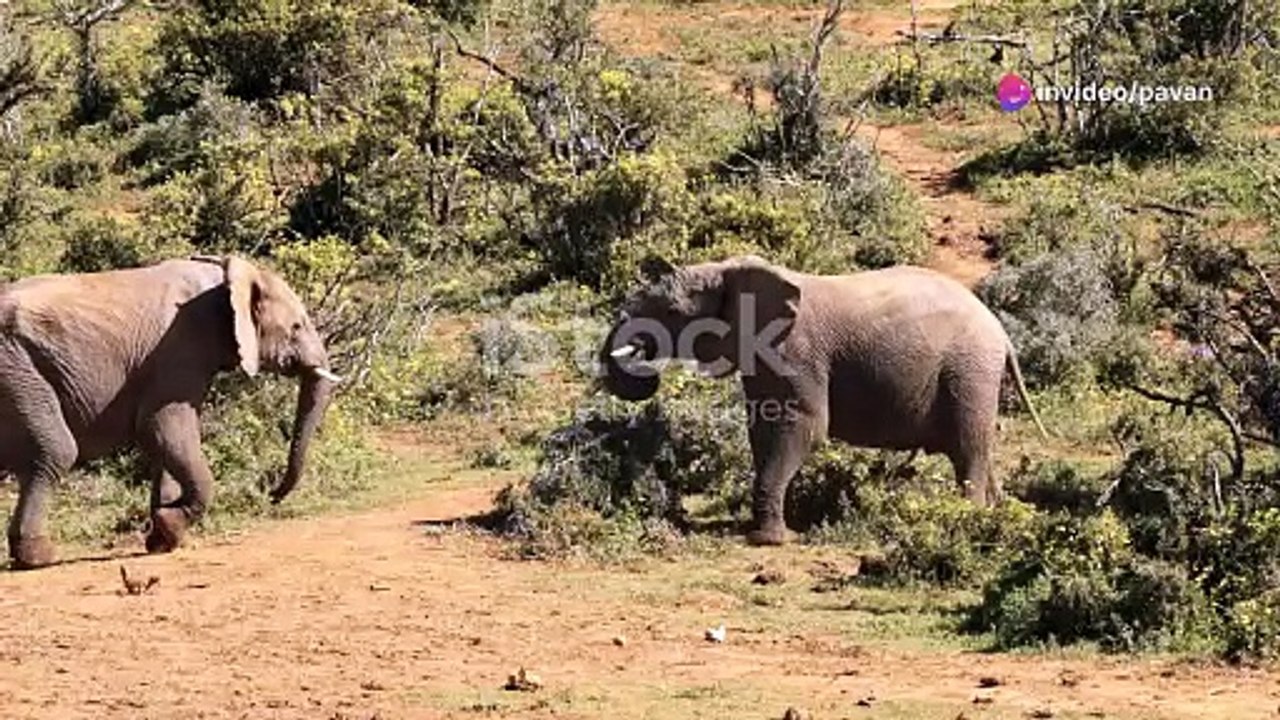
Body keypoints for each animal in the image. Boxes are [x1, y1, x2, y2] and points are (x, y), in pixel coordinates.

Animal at [0, 255, 341, 569]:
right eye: (296, 327)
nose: (270, 492)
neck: (225, 275)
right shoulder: (180, 350)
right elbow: (163, 428)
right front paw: (170, 524)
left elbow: (163, 444)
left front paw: (162, 539)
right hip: (18, 373)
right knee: (55, 452)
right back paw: (39, 557)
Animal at [597, 255, 1047, 546]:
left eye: (673, 311)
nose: (644, 358)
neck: (730, 268)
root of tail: (1002, 333)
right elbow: (761, 431)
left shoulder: (797, 353)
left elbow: (803, 429)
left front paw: (767, 540)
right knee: (980, 451)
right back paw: (998, 518)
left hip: (969, 372)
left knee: (968, 451)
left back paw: (967, 524)